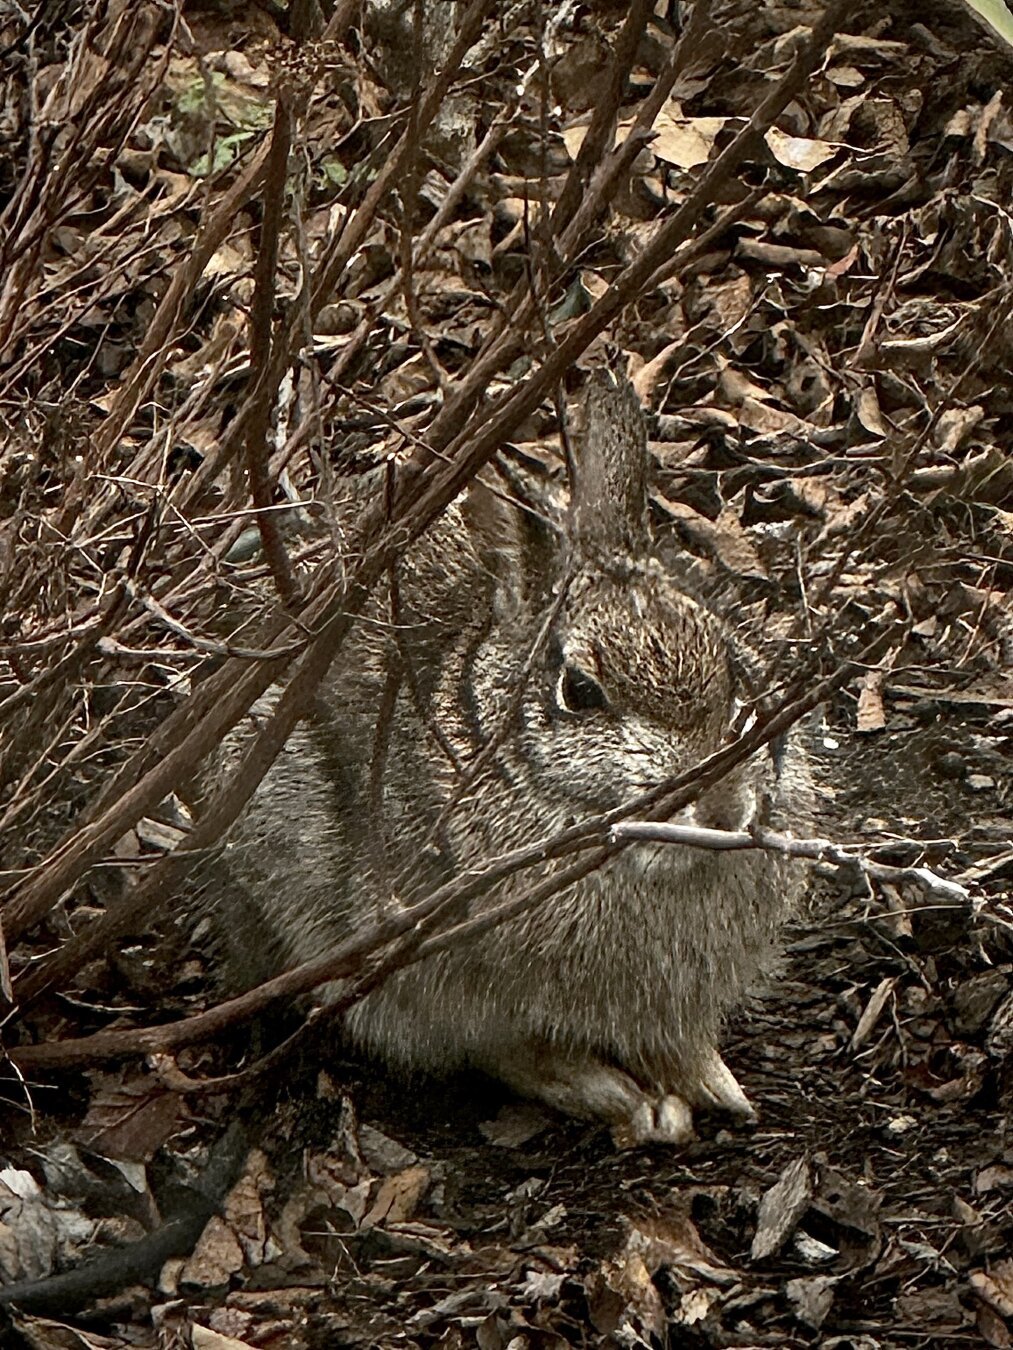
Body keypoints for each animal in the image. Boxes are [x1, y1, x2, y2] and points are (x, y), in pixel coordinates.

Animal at [207, 370, 807, 1146]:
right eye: (580, 692)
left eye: (732, 667)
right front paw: (619, 1095)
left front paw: (709, 1080)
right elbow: (510, 1048)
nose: (726, 807)